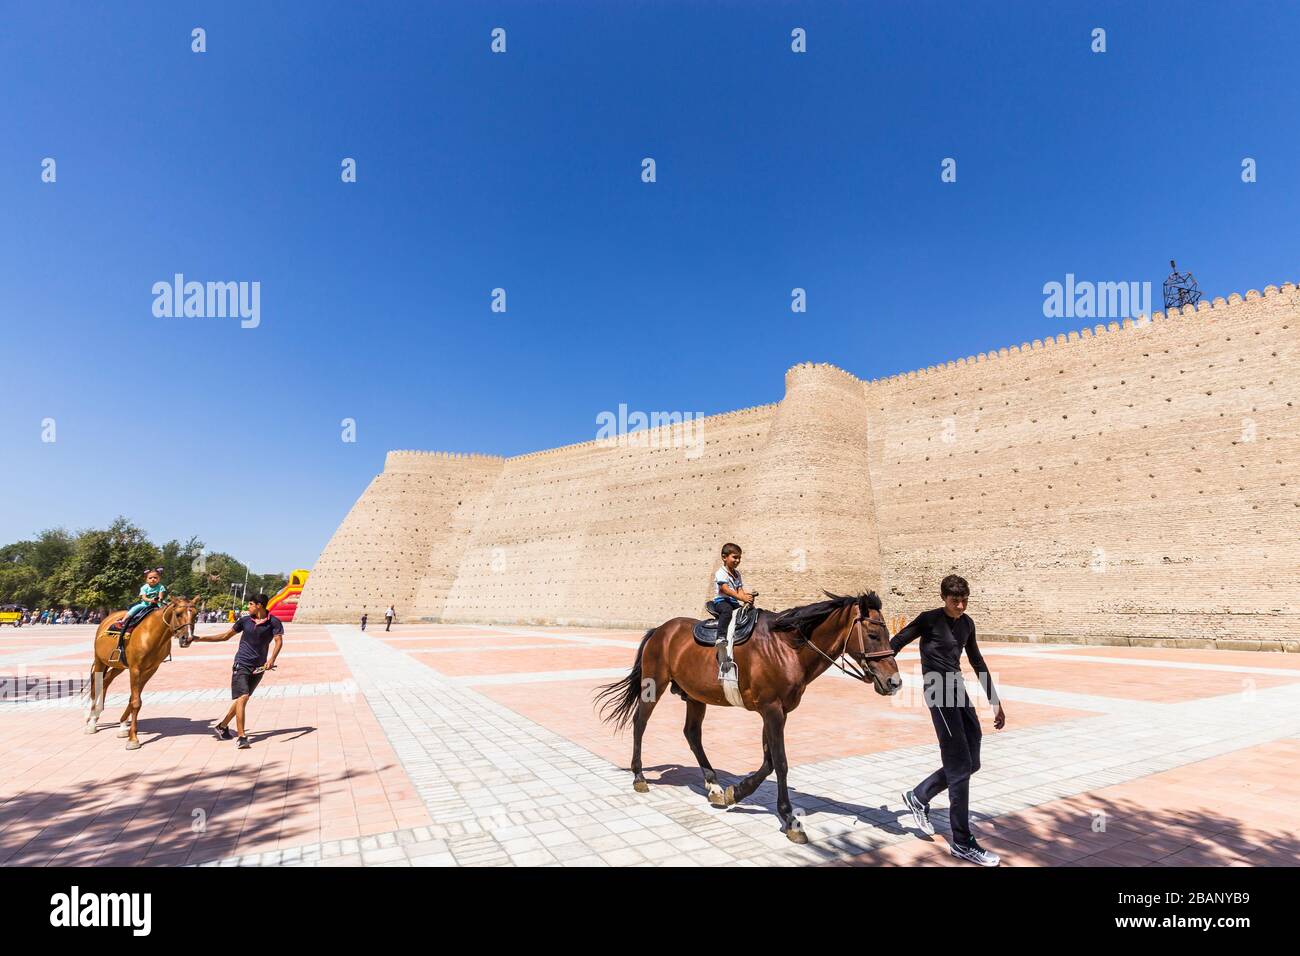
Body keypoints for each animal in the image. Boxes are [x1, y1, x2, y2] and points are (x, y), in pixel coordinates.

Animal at [85, 598, 200, 749]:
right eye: (178, 614)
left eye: (196, 615)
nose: (188, 638)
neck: (152, 633)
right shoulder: (135, 669)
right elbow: (136, 702)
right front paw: (133, 739)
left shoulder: (150, 670)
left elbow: (133, 698)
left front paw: (124, 727)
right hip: (100, 661)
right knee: (96, 686)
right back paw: (92, 722)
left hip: (119, 666)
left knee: (106, 681)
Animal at [595, 590, 899, 842]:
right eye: (873, 635)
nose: (894, 682)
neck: (786, 647)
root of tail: (660, 630)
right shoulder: (772, 709)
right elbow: (781, 763)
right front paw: (789, 818)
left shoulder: (777, 711)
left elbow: (768, 762)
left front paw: (736, 792)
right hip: (653, 685)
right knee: (640, 723)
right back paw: (639, 776)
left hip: (695, 696)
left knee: (692, 734)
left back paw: (714, 785)